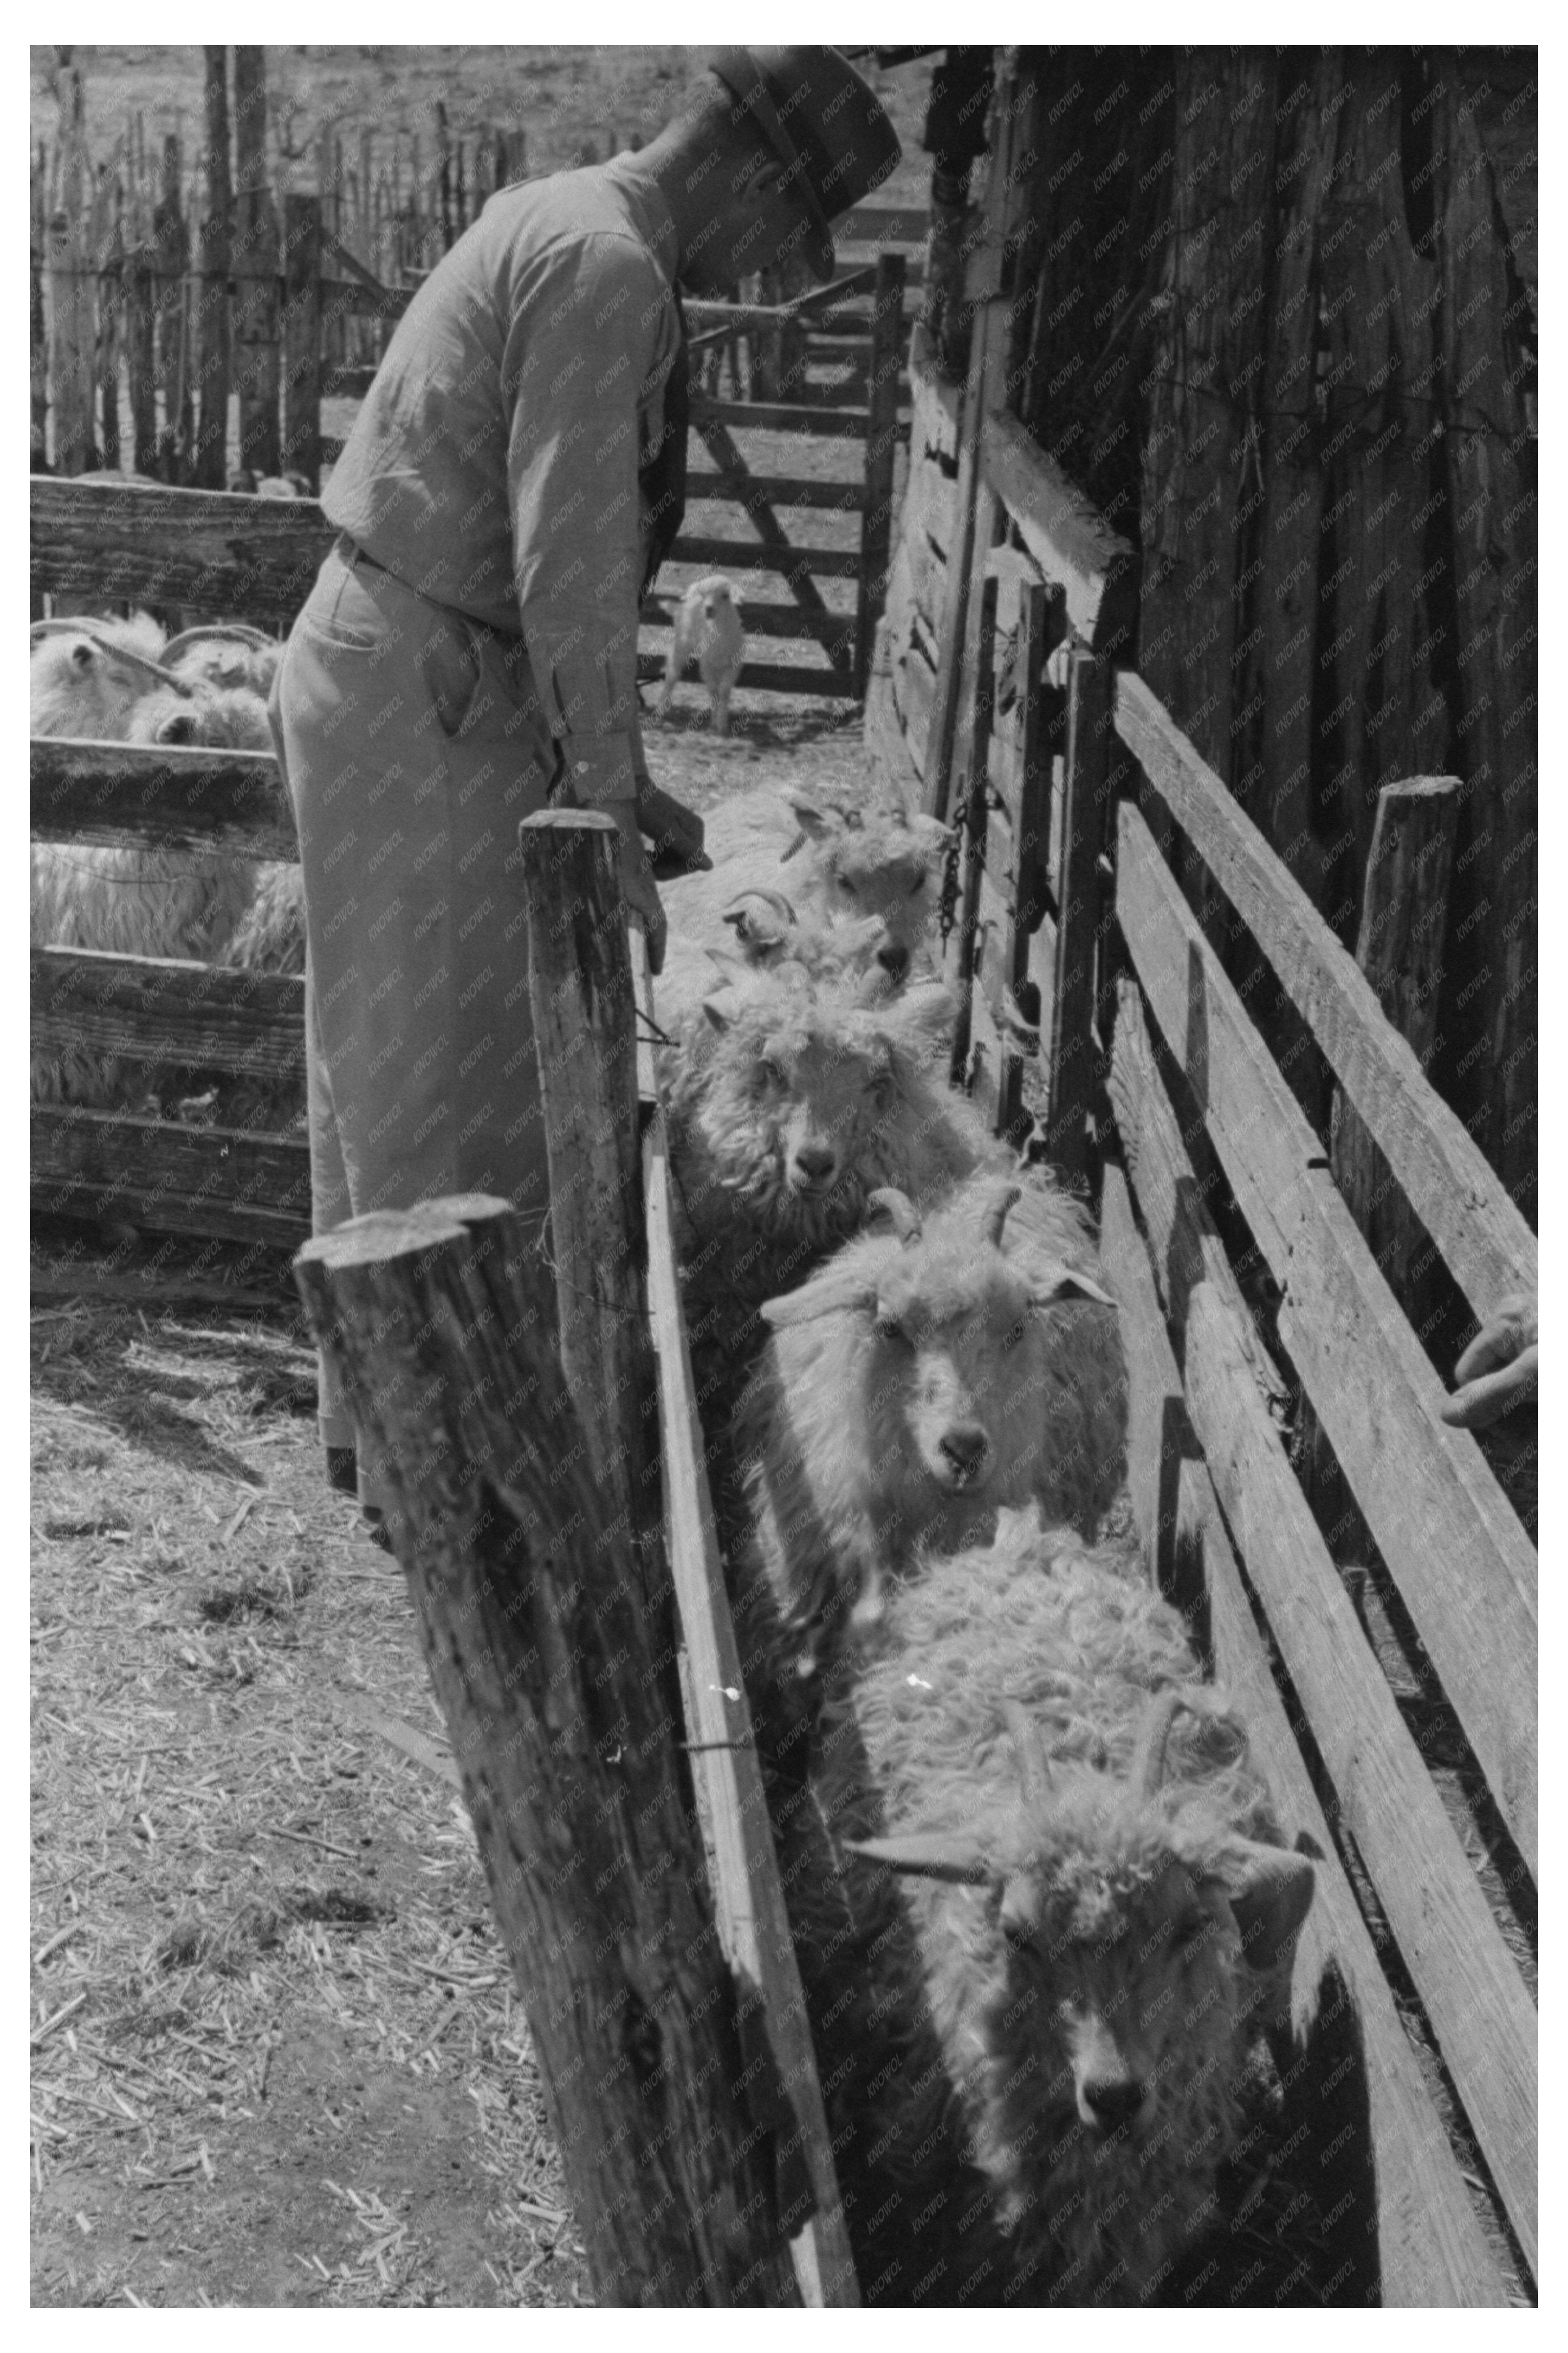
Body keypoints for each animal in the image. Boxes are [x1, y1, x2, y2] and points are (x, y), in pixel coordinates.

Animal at [654, 574, 739, 729]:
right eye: (704, 594)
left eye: (726, 595)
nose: (709, 609)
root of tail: (681, 608)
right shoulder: (707, 666)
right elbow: (714, 692)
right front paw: (716, 723)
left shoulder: (732, 665)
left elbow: (723, 692)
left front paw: (722, 724)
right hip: (680, 646)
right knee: (672, 675)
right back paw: (659, 712)